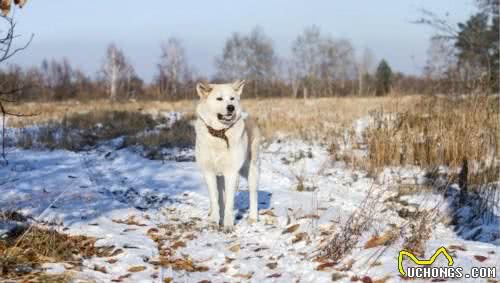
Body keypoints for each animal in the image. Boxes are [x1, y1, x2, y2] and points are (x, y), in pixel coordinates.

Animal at [194, 80, 262, 233]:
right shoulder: (209, 172)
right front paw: (214, 221)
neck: (220, 133)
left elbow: (230, 202)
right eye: (219, 99)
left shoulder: (231, 173)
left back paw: (253, 218)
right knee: (220, 197)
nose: (231, 107)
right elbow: (215, 199)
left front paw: (228, 225)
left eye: (232, 99)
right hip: (220, 176)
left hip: (251, 171)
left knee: (253, 194)